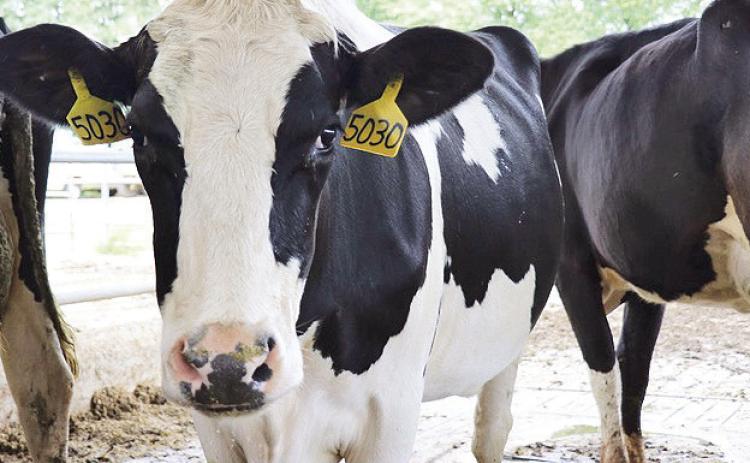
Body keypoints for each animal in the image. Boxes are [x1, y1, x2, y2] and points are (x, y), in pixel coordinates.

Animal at [0, 0, 563, 461]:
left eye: (328, 133)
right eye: (138, 133)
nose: (229, 361)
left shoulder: (391, 411)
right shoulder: (219, 428)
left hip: (507, 350)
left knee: (491, 430)